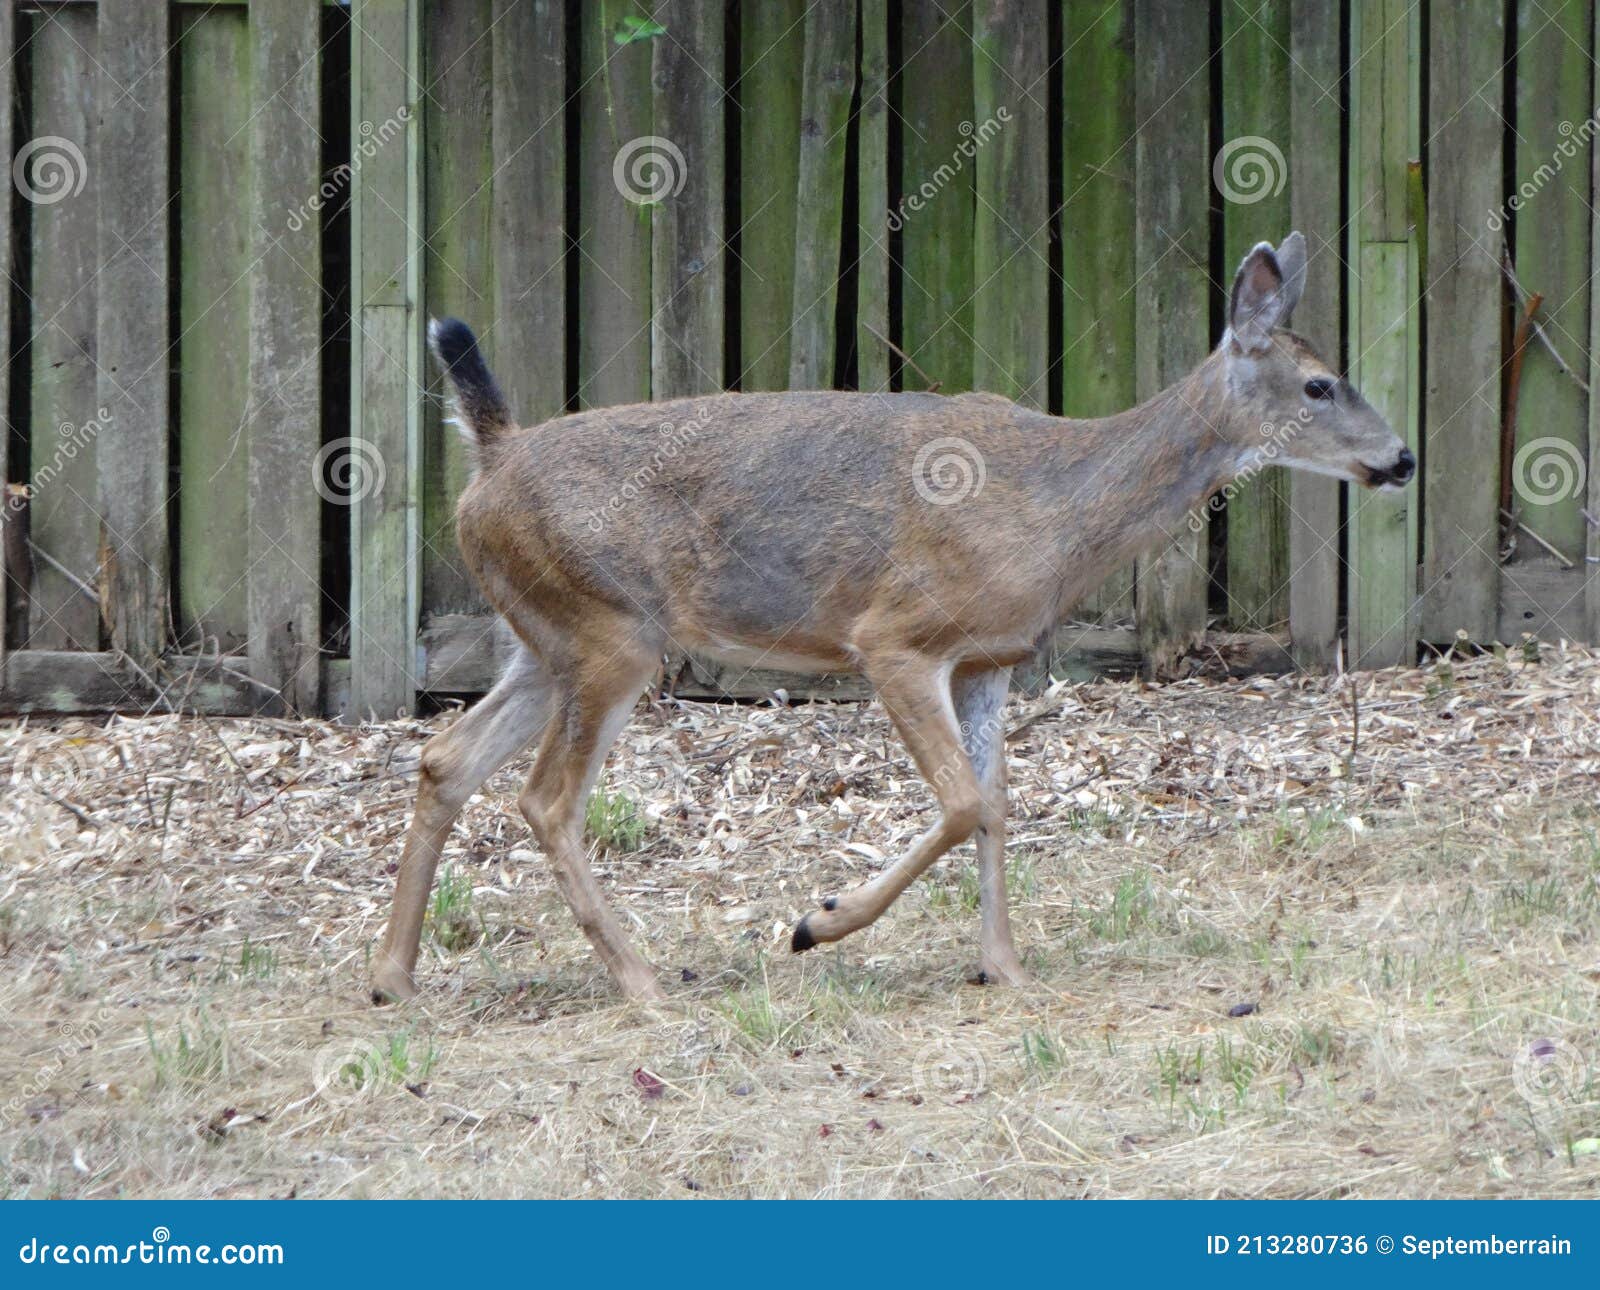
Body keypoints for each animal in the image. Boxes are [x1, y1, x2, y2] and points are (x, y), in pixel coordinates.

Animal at [371, 231, 1413, 1005]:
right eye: (1320, 385)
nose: (1401, 457)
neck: (1058, 515)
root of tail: (492, 459)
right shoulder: (895, 637)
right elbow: (961, 804)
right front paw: (816, 922)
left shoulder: (992, 658)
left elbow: (995, 806)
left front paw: (1006, 969)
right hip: (608, 633)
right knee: (545, 797)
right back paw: (641, 979)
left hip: (545, 639)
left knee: (446, 759)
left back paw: (392, 978)